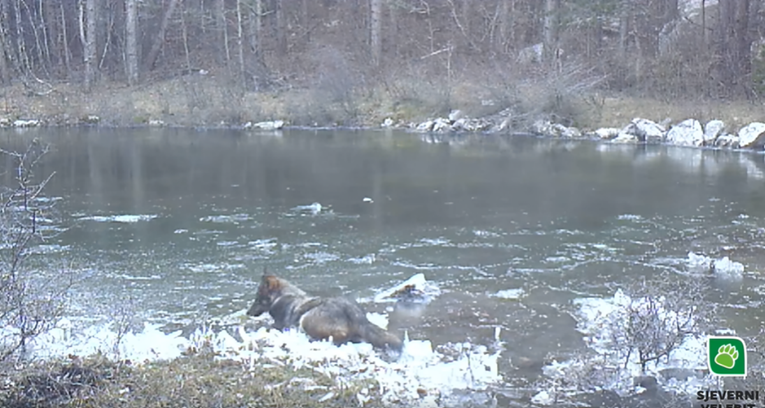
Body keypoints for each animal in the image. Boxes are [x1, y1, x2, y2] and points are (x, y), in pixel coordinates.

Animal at [246, 270, 402, 350]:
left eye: (257, 298)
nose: (247, 313)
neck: (283, 295)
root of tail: (356, 314)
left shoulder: (278, 324)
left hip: (305, 318)